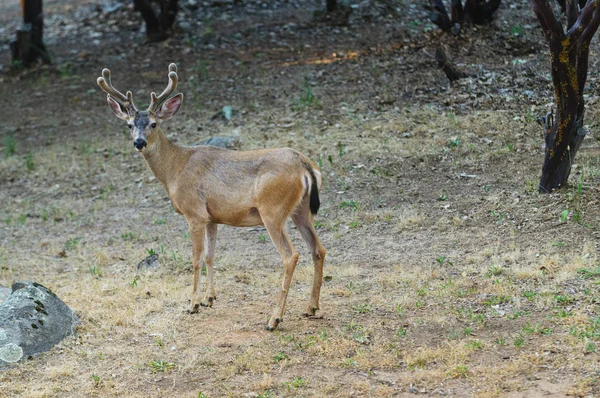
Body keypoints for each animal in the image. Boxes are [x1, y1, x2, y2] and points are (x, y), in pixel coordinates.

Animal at [96, 63, 326, 330]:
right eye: (129, 125)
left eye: (154, 123)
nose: (139, 142)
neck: (175, 170)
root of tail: (305, 165)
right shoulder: (212, 217)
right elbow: (210, 255)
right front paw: (209, 298)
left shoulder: (194, 212)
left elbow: (195, 258)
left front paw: (193, 303)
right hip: (301, 210)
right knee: (318, 249)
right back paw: (311, 307)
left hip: (273, 210)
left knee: (291, 256)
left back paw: (275, 318)